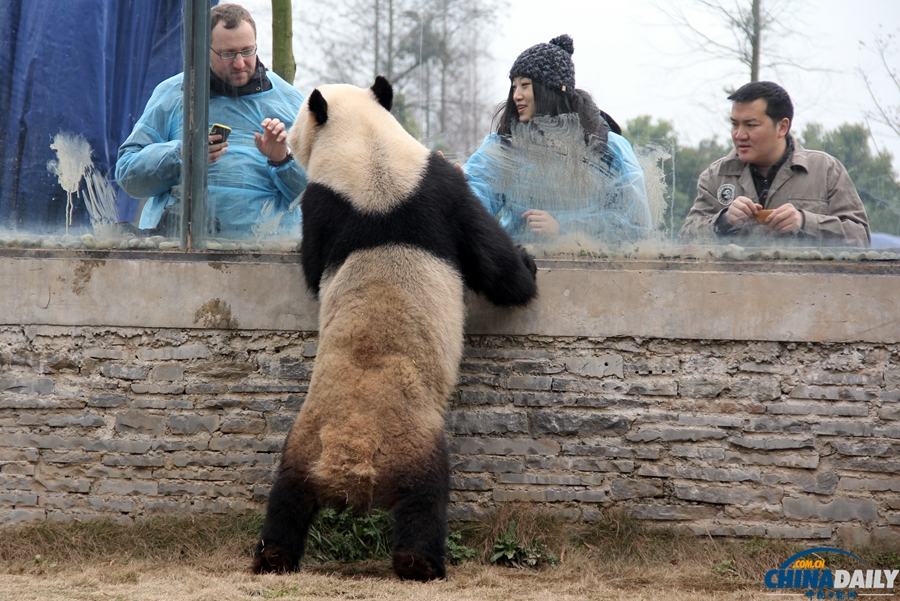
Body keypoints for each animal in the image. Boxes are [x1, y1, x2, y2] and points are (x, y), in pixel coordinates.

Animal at [250, 75, 536, 580]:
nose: (285, 132)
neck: (369, 150)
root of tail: (353, 457)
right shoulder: (438, 188)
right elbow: (494, 263)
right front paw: (529, 268)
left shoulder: (350, 198)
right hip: (414, 444)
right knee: (426, 501)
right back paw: (420, 563)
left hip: (303, 442)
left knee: (286, 497)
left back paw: (273, 555)